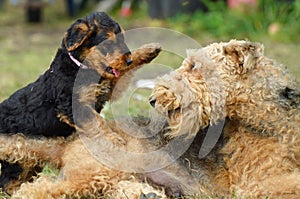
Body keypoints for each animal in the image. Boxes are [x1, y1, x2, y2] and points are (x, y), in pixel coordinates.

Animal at [0, 11, 162, 194]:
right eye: (108, 42)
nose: (127, 61)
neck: (80, 66)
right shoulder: (72, 105)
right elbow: (97, 121)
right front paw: (114, 139)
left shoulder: (105, 88)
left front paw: (149, 51)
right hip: (17, 164)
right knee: (8, 182)